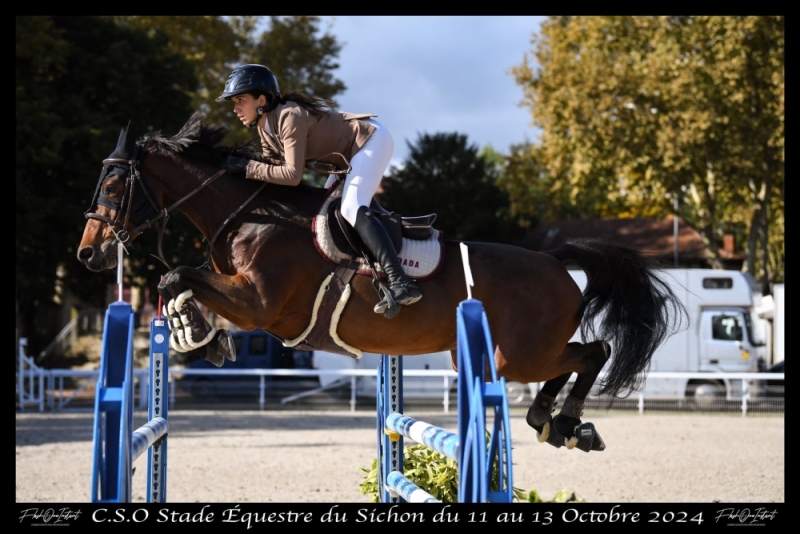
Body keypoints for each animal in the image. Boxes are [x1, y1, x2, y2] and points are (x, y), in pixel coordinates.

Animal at [78, 111, 684, 454]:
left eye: (112, 184)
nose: (89, 252)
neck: (251, 214)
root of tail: (555, 262)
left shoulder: (260, 303)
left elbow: (178, 274)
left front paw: (198, 334)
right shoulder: (243, 293)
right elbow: (175, 279)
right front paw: (201, 336)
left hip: (519, 355)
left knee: (593, 351)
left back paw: (568, 423)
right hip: (513, 353)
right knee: (578, 356)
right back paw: (548, 421)